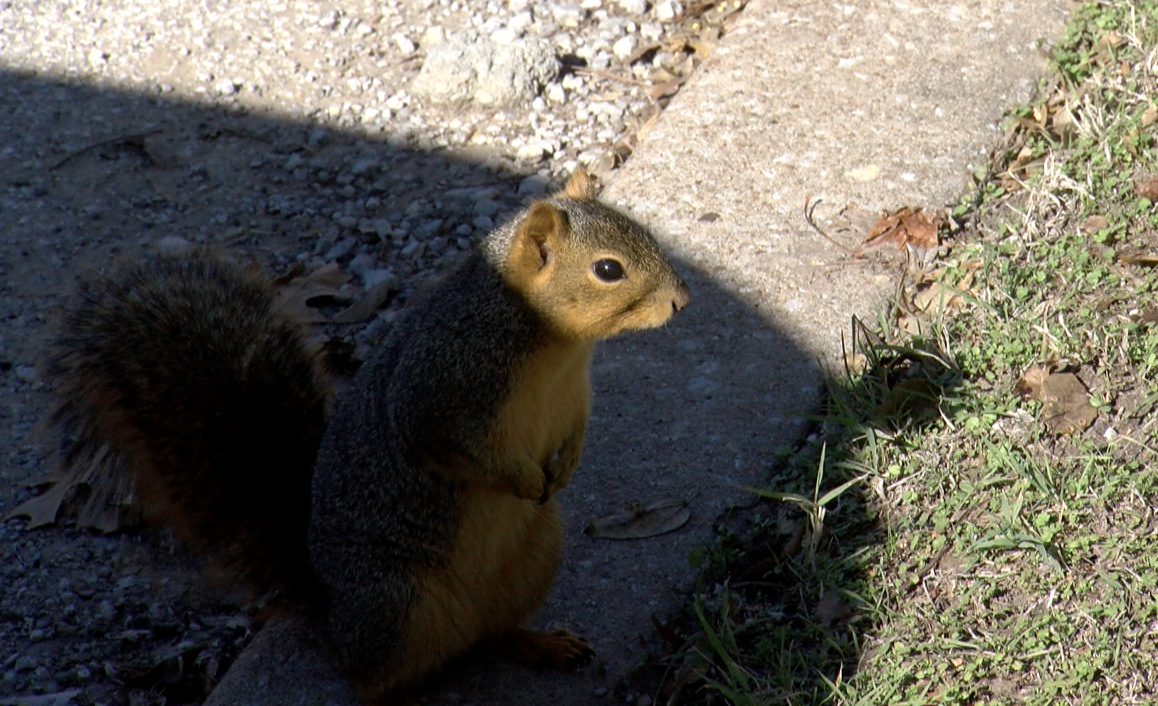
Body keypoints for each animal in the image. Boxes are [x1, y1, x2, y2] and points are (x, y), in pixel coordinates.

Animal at [44, 168, 690, 702]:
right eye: (608, 269)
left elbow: (577, 429)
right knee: (370, 681)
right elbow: (452, 447)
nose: (682, 301)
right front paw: (524, 478)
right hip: (395, 605)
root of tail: (330, 603)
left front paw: (567, 466)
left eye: (643, 231)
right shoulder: (441, 388)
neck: (552, 344)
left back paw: (538, 643)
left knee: (491, 636)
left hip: (532, 556)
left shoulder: (574, 392)